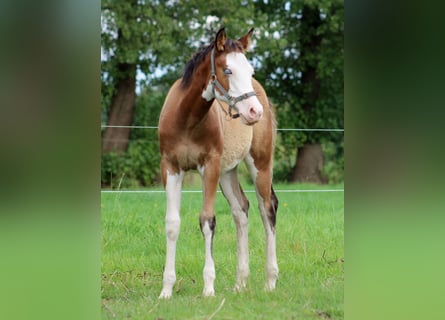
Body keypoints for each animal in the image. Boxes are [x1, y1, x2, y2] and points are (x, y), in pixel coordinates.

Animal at [157, 26, 278, 298]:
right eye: (228, 70)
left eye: (250, 71)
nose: (254, 111)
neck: (187, 120)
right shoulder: (170, 167)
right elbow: (172, 223)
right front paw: (166, 290)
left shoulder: (209, 167)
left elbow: (207, 220)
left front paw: (208, 288)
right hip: (228, 171)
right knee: (241, 210)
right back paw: (240, 283)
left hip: (260, 163)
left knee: (267, 209)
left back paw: (270, 281)